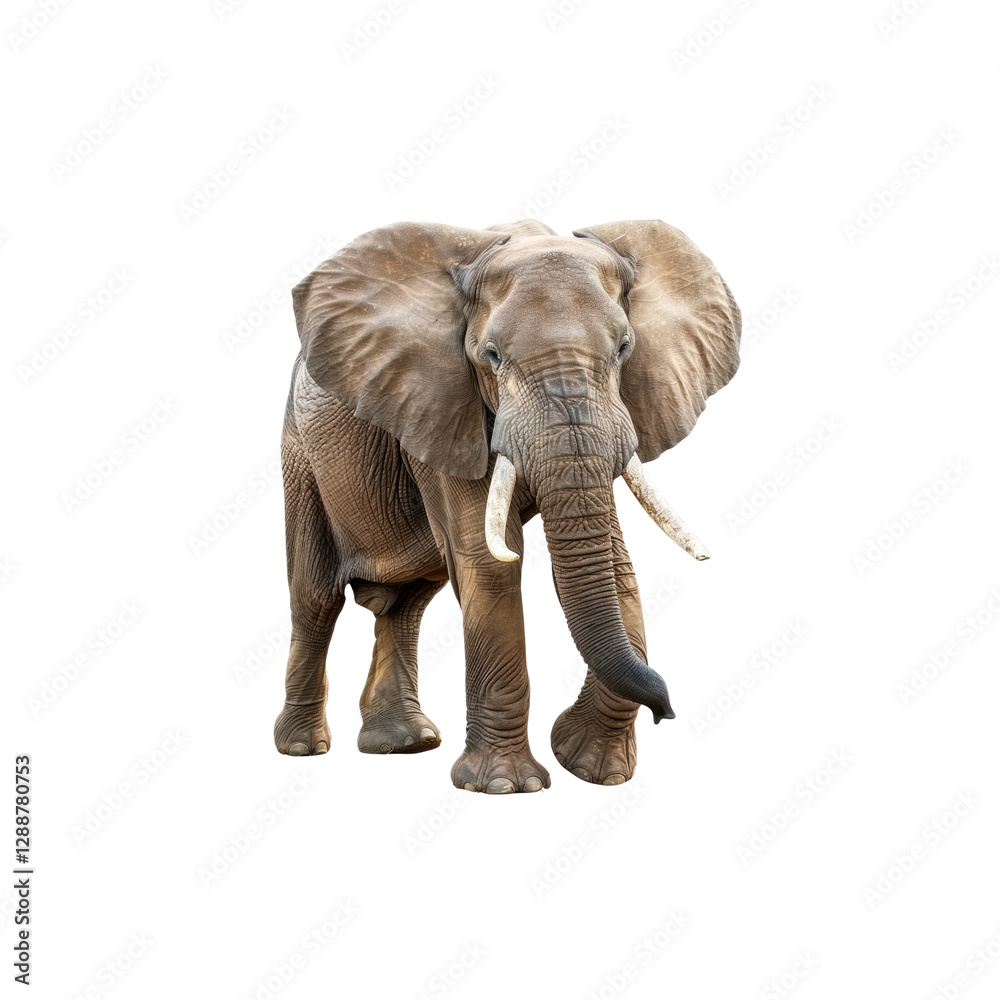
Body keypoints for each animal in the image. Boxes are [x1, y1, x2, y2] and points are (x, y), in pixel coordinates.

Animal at [274, 217, 741, 793]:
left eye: (624, 349)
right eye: (491, 356)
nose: (667, 710)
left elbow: (616, 563)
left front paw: (593, 771)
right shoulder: (445, 405)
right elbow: (487, 564)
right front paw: (507, 787)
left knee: (407, 603)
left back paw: (405, 744)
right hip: (301, 458)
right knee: (315, 598)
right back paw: (302, 747)